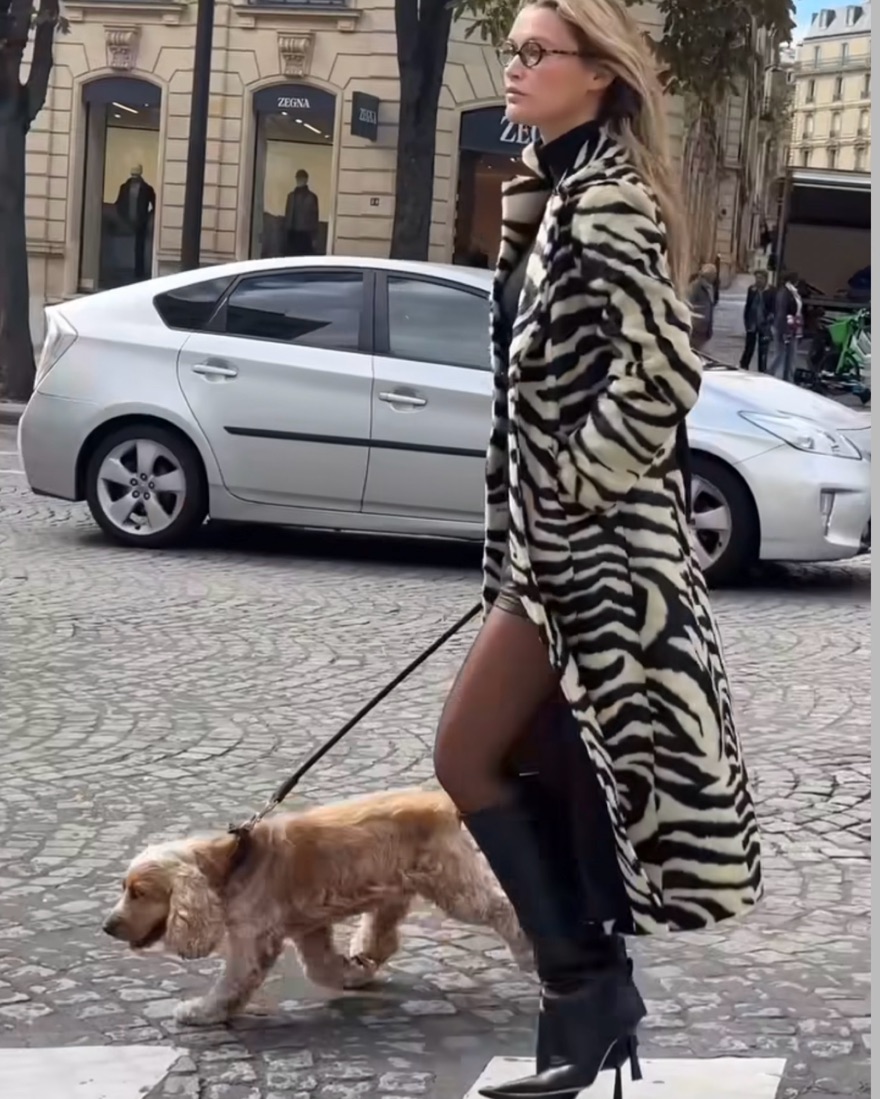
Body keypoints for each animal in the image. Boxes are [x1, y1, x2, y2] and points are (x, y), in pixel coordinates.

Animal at [103, 789, 532, 1026]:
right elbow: (320, 966)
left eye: (139, 893)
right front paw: (350, 974)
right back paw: (364, 959)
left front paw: (201, 1012)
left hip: (453, 886)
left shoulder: (252, 939)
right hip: (397, 885)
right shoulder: (307, 927)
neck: (232, 861)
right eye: (124, 888)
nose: (107, 927)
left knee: (500, 906)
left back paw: (528, 950)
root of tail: (441, 803)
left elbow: (232, 983)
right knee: (382, 932)